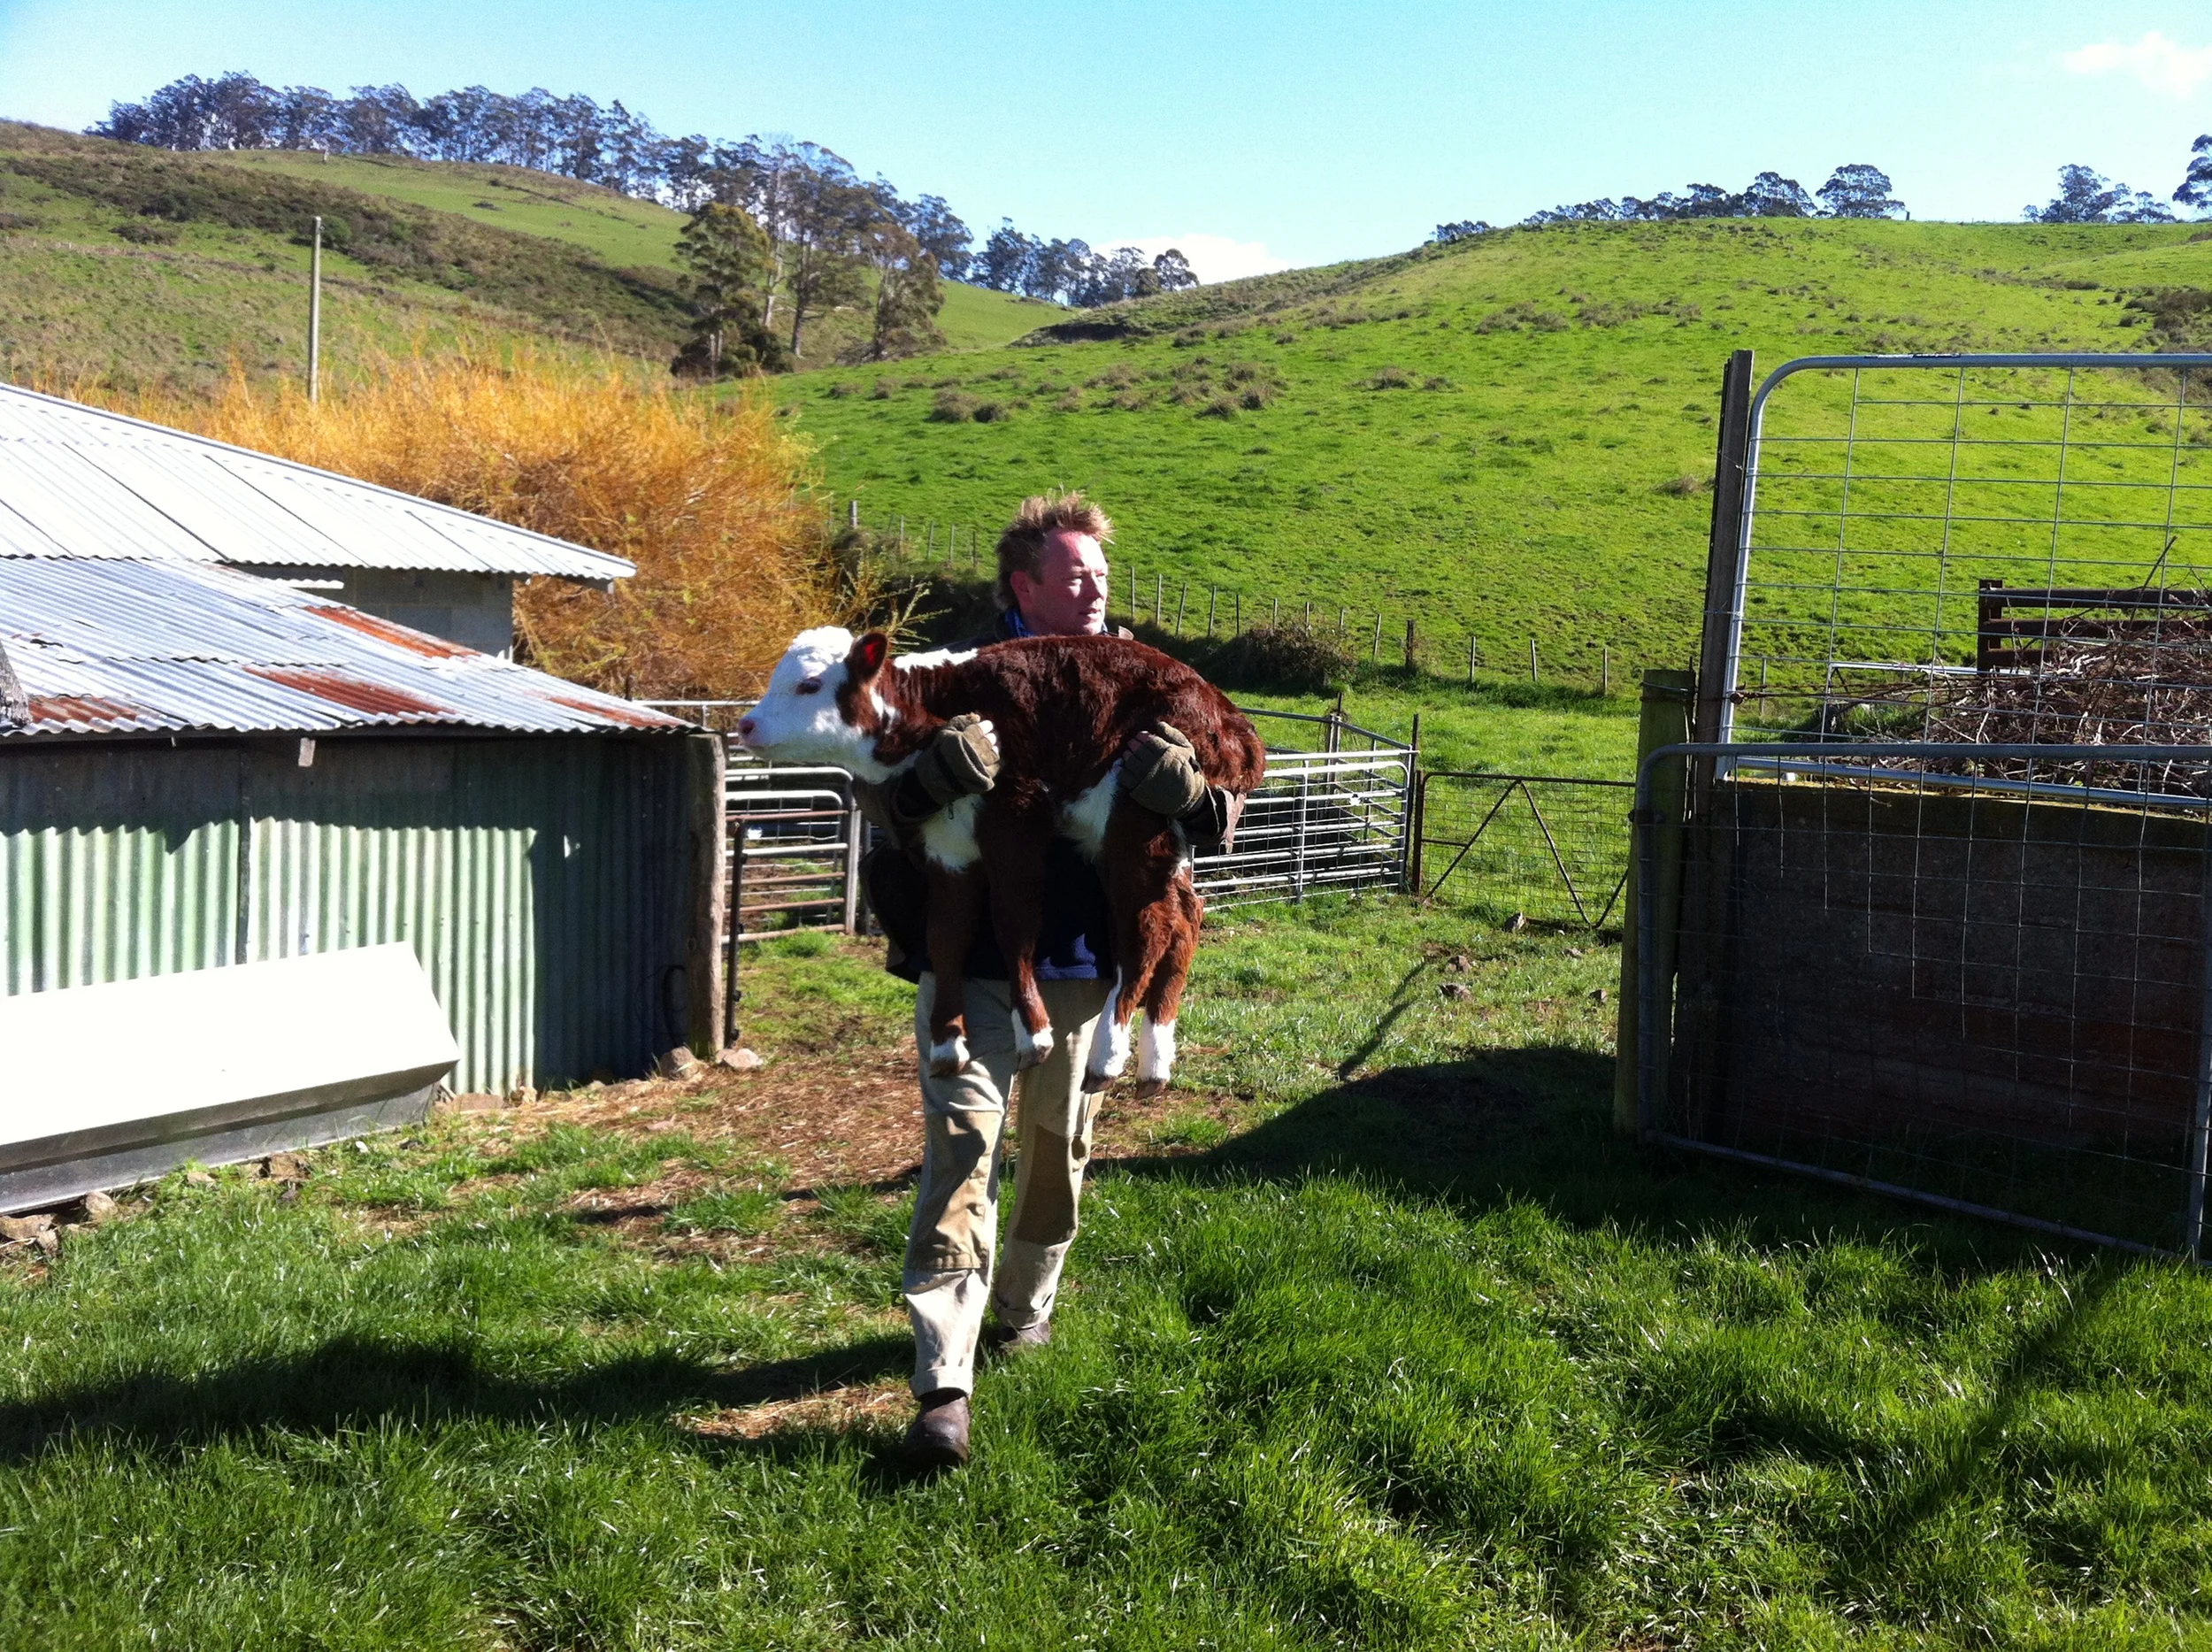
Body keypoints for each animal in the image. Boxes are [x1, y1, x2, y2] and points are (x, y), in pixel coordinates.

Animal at [736, 626, 1265, 1097]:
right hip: (1164, 837)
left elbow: (1013, 920)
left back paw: (1106, 1057)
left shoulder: (1013, 821)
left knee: (1148, 927)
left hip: (1136, 808)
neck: (928, 714)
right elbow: (947, 934)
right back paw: (1155, 1063)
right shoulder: (945, 845)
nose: (746, 724)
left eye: (809, 684)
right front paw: (947, 1043)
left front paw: (1033, 1032)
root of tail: (1235, 725)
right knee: (1185, 916)